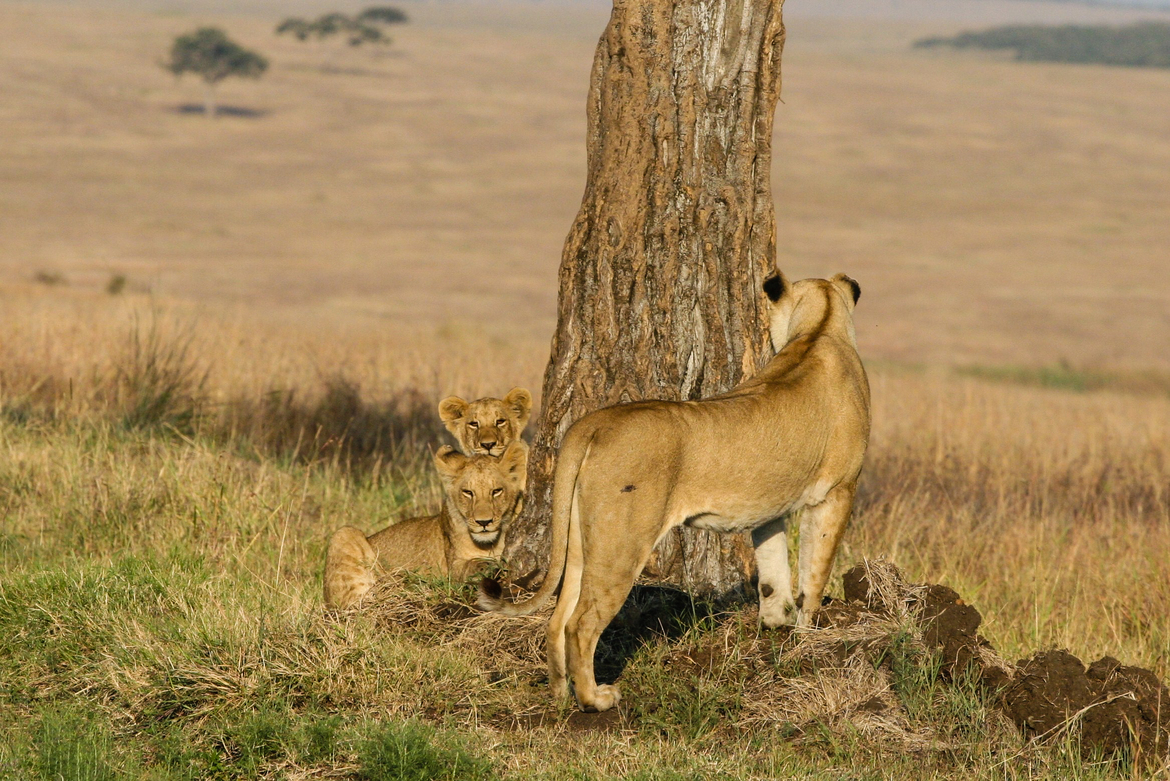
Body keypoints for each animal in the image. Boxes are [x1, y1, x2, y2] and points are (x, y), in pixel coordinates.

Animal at [323, 440, 528, 610]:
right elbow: (469, 566)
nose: (483, 522)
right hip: (344, 533)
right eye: (468, 492)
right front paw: (490, 565)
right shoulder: (452, 568)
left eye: (496, 491)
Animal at [477, 271, 870, 712]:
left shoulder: (770, 505)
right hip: (623, 540)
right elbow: (815, 573)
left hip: (582, 538)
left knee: (558, 618)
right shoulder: (837, 490)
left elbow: (773, 569)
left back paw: (561, 694)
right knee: (582, 623)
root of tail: (593, 424)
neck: (821, 326)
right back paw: (596, 699)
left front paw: (775, 624)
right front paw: (807, 638)